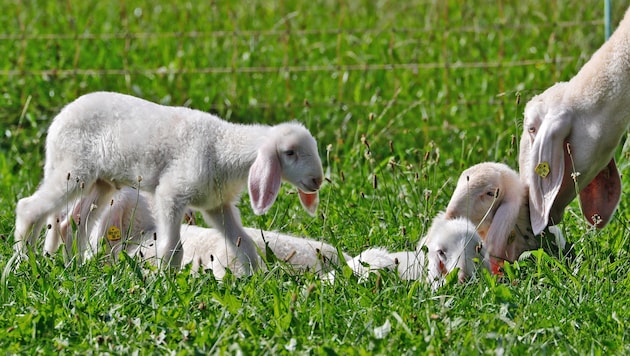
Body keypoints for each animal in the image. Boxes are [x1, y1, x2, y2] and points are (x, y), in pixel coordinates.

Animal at [13, 92, 326, 270]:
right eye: (290, 152)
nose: (317, 180)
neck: (222, 147)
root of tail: (59, 118)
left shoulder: (217, 205)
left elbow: (246, 247)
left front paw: (257, 281)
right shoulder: (171, 194)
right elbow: (172, 248)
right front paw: (165, 283)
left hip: (101, 181)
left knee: (73, 222)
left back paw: (74, 268)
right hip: (73, 169)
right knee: (30, 209)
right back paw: (19, 267)